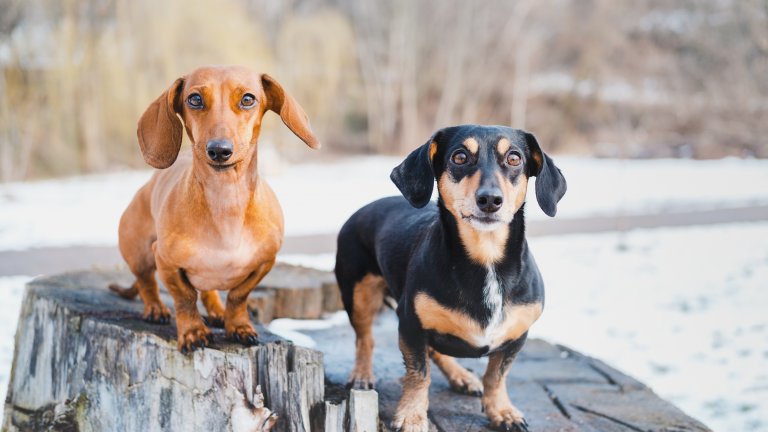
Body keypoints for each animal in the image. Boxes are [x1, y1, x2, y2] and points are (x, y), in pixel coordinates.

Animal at [109, 66, 320, 352]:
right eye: (194, 99)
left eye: (248, 99)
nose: (219, 150)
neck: (226, 202)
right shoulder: (165, 261)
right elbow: (185, 298)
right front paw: (193, 332)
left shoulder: (265, 262)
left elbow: (238, 296)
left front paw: (238, 325)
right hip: (140, 254)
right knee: (146, 283)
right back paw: (155, 308)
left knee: (208, 291)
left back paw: (218, 311)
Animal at [334, 124, 564, 428]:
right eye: (460, 157)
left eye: (514, 158)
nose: (490, 200)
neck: (486, 258)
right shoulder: (411, 326)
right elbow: (419, 374)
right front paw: (411, 415)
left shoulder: (516, 337)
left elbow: (496, 376)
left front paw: (502, 411)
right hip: (358, 294)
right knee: (365, 339)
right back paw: (362, 375)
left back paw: (462, 377)